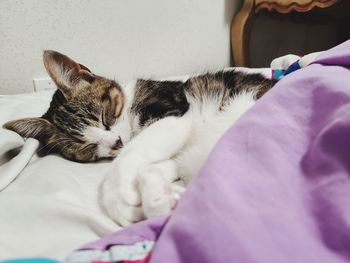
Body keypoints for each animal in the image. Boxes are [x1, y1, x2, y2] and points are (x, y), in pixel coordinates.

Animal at [2, 51, 276, 227]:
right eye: (88, 147)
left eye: (103, 117)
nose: (115, 142)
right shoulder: (188, 155)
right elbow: (156, 167)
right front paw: (157, 199)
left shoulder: (175, 113)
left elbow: (129, 156)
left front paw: (119, 197)